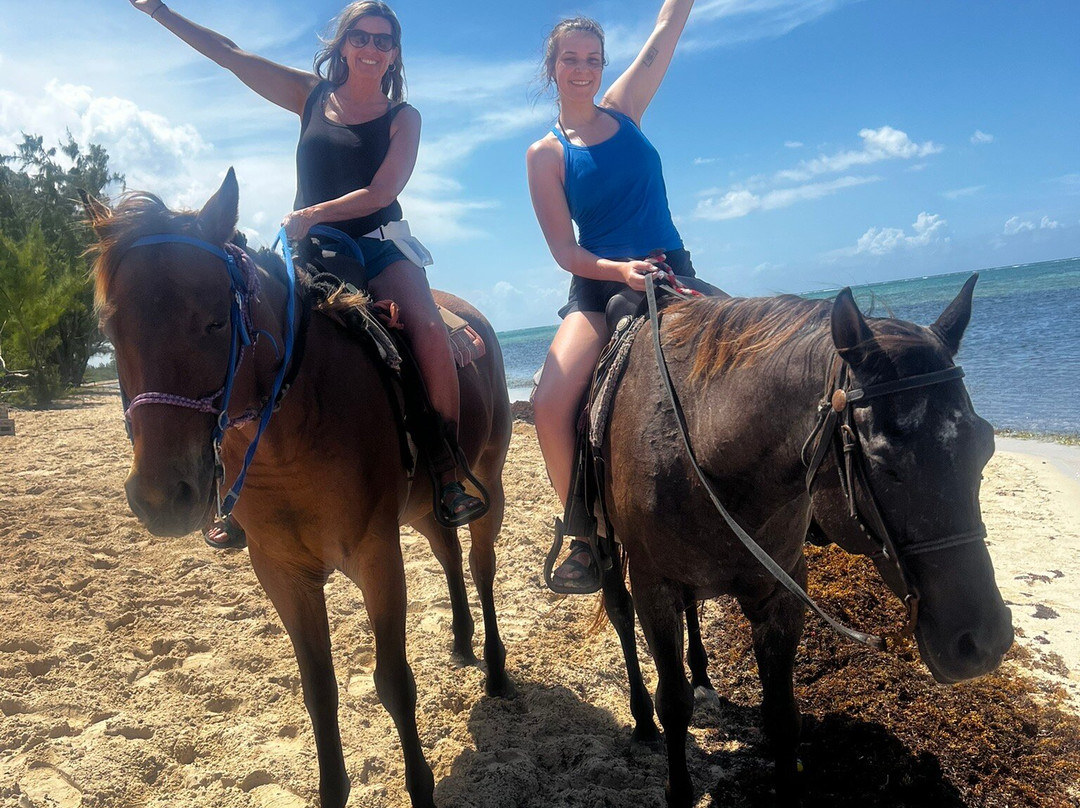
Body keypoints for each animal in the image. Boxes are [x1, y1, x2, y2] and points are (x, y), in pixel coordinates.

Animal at [82, 169, 513, 808]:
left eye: (215, 321)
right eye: (110, 331)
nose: (161, 496)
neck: (293, 430)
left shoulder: (376, 556)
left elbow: (393, 682)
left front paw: (420, 787)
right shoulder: (281, 572)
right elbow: (318, 691)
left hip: (489, 481)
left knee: (482, 567)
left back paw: (496, 670)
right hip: (421, 508)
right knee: (450, 553)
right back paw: (462, 641)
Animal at [592, 277, 1014, 806]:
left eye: (986, 446)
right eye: (884, 463)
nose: (984, 642)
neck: (701, 446)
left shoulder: (782, 592)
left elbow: (782, 715)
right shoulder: (655, 588)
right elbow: (673, 704)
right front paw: (675, 775)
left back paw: (704, 678)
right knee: (620, 615)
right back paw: (642, 718)